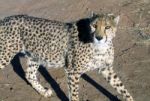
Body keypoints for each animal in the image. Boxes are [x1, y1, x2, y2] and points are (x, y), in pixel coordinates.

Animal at [0, 13, 134, 101]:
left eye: (107, 27)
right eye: (94, 26)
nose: (99, 37)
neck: (100, 46)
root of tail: (6, 18)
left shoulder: (105, 69)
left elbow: (121, 87)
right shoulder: (72, 71)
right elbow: (74, 94)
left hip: (35, 55)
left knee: (29, 75)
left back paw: (44, 92)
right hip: (5, 55)